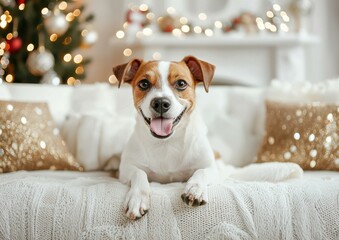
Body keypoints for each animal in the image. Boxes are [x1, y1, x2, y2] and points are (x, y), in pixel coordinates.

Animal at [113, 55, 304, 219]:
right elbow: (139, 173)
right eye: (144, 83)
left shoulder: (209, 167)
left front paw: (195, 189)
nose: (160, 103)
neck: (167, 143)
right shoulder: (126, 169)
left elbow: (201, 172)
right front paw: (138, 198)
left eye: (181, 83)